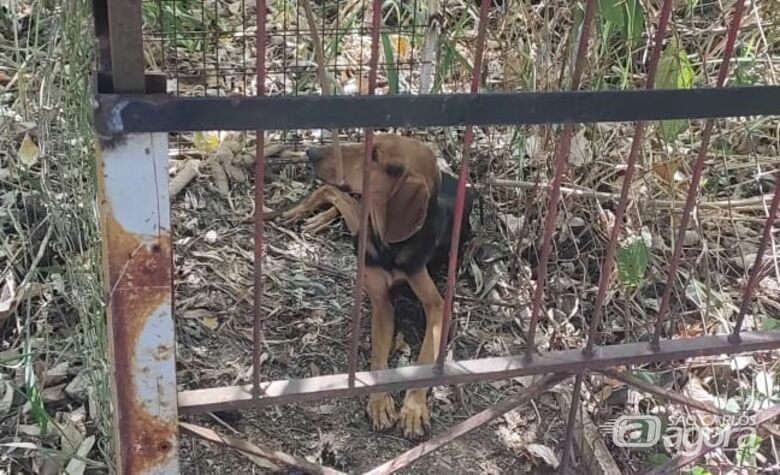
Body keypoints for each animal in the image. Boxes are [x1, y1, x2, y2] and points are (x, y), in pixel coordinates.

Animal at [280, 134, 476, 438]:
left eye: (375, 156)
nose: (310, 153)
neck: (388, 244)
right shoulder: (382, 302)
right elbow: (378, 356)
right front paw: (380, 402)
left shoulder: (437, 307)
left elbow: (423, 359)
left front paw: (413, 408)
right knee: (334, 193)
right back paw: (307, 214)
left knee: (342, 198)